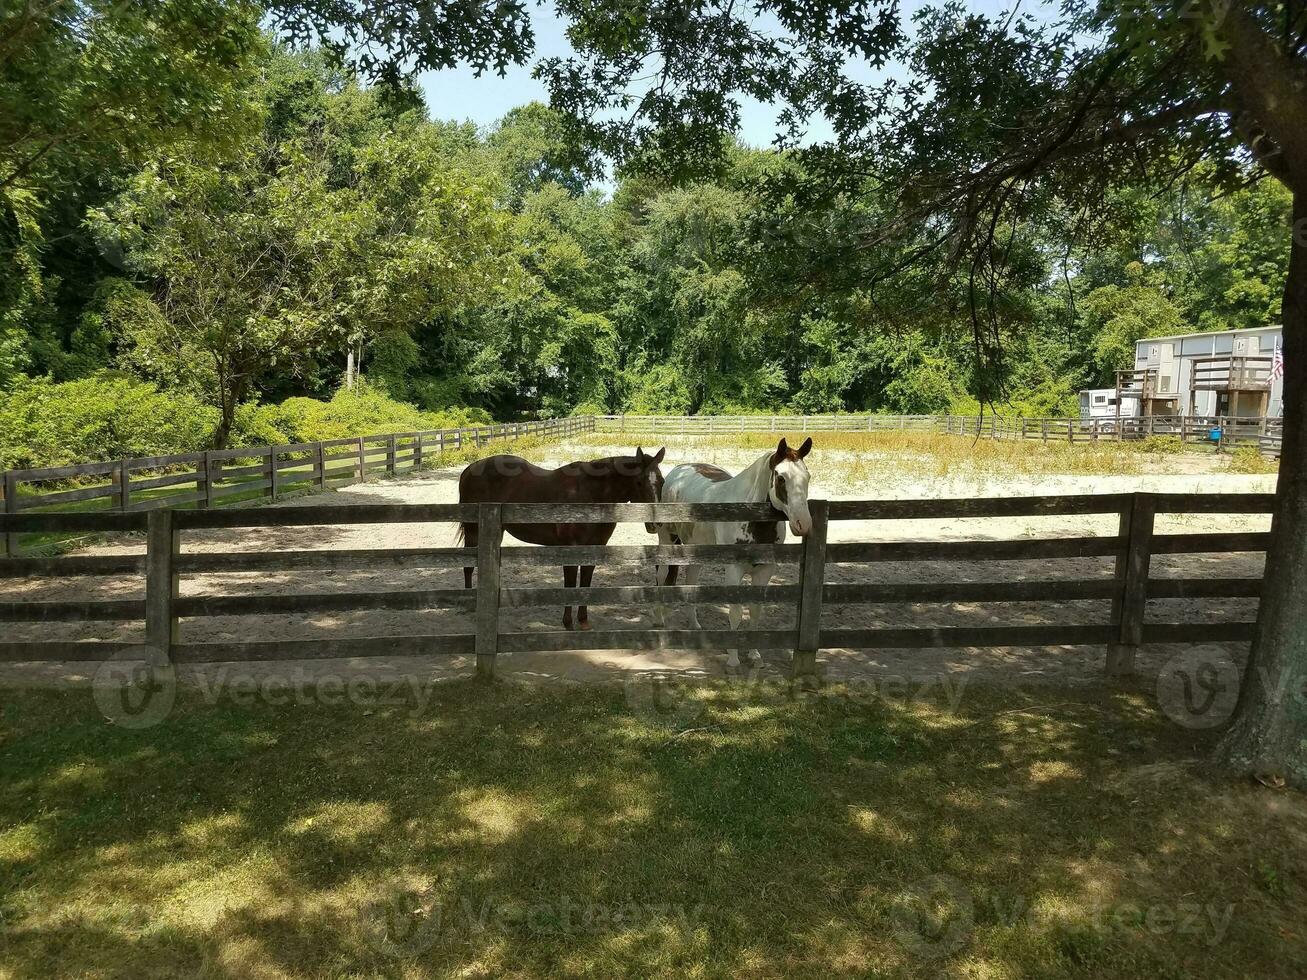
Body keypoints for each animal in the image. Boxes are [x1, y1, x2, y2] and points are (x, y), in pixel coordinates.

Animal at [457, 452, 663, 632]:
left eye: (661, 481)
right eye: (639, 482)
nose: (655, 523)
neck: (590, 494)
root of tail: (470, 469)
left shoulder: (594, 549)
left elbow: (585, 584)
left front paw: (583, 621)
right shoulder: (569, 550)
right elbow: (570, 585)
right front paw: (568, 622)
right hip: (473, 530)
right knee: (468, 566)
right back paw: (469, 603)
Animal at [658, 439, 810, 663]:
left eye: (807, 476)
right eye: (781, 478)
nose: (803, 524)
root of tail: (680, 469)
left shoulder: (765, 570)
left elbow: (755, 611)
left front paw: (755, 655)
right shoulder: (734, 569)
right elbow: (736, 612)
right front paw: (733, 659)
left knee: (691, 580)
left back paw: (694, 625)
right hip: (667, 540)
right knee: (662, 575)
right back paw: (660, 621)